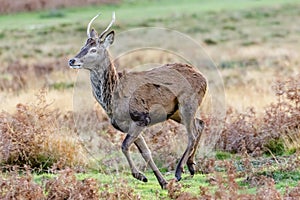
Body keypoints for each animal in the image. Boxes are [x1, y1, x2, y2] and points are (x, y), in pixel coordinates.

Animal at [68, 12, 207, 189]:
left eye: (93, 49)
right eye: (82, 47)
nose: (72, 60)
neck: (112, 99)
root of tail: (203, 77)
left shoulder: (141, 117)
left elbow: (124, 146)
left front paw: (140, 176)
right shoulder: (128, 125)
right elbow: (146, 152)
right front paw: (162, 182)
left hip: (187, 102)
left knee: (192, 135)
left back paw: (179, 171)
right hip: (175, 112)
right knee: (200, 123)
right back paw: (191, 165)